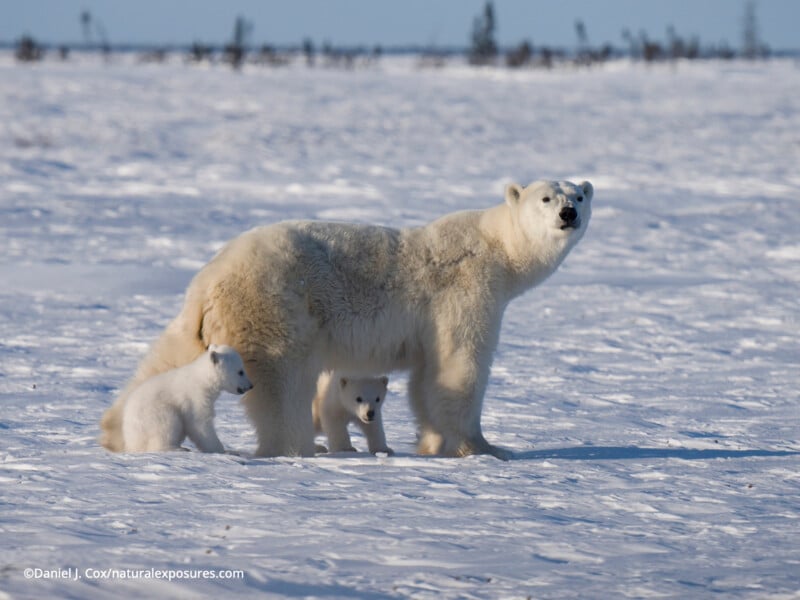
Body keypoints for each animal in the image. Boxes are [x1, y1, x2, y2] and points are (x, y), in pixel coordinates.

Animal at [120, 345, 252, 453]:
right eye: (240, 371)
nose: (250, 386)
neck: (202, 379)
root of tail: (131, 443)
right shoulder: (194, 397)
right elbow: (199, 423)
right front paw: (222, 450)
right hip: (153, 415)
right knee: (167, 423)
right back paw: (177, 448)